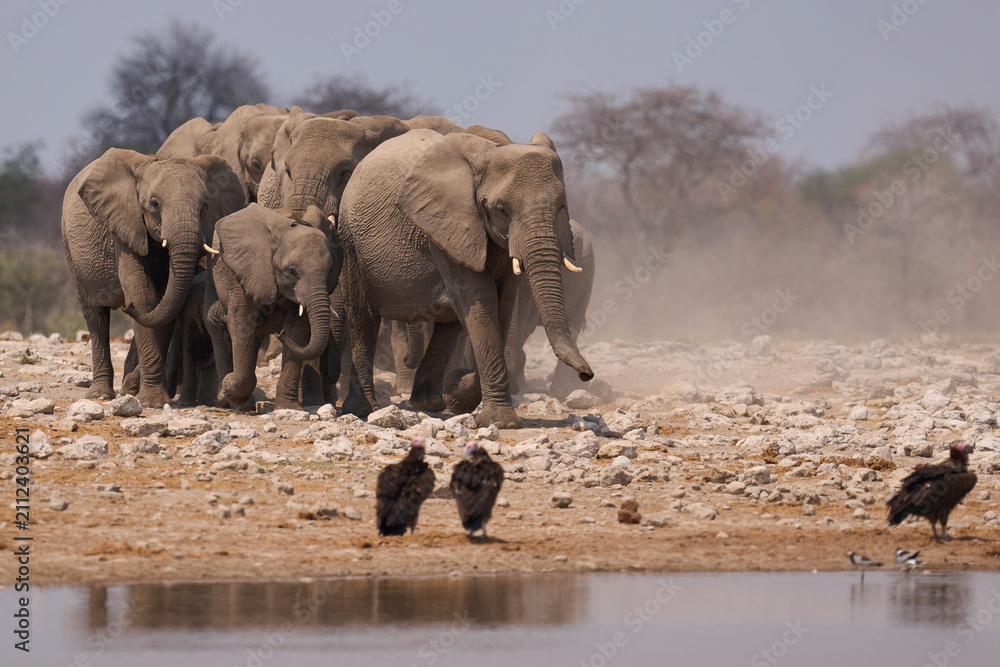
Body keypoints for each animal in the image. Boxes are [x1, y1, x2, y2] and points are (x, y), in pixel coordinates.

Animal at [62, 148, 246, 406]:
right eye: (154, 204)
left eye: (204, 206)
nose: (126, 305)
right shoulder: (125, 227)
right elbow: (143, 295)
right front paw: (153, 402)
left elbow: (163, 306)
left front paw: (141, 392)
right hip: (71, 250)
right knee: (95, 315)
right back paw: (101, 395)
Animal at [205, 204, 340, 410]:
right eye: (292, 272)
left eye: (330, 270)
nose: (279, 333)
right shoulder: (244, 274)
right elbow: (241, 324)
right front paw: (227, 388)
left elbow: (298, 330)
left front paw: (288, 408)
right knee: (216, 324)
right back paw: (230, 400)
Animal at [337, 129, 594, 428]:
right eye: (501, 209)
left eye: (562, 206)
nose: (586, 374)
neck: (488, 152)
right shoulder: (445, 227)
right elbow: (481, 302)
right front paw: (500, 421)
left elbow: (502, 306)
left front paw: (458, 395)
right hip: (351, 241)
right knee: (363, 316)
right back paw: (364, 409)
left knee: (449, 321)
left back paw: (429, 403)